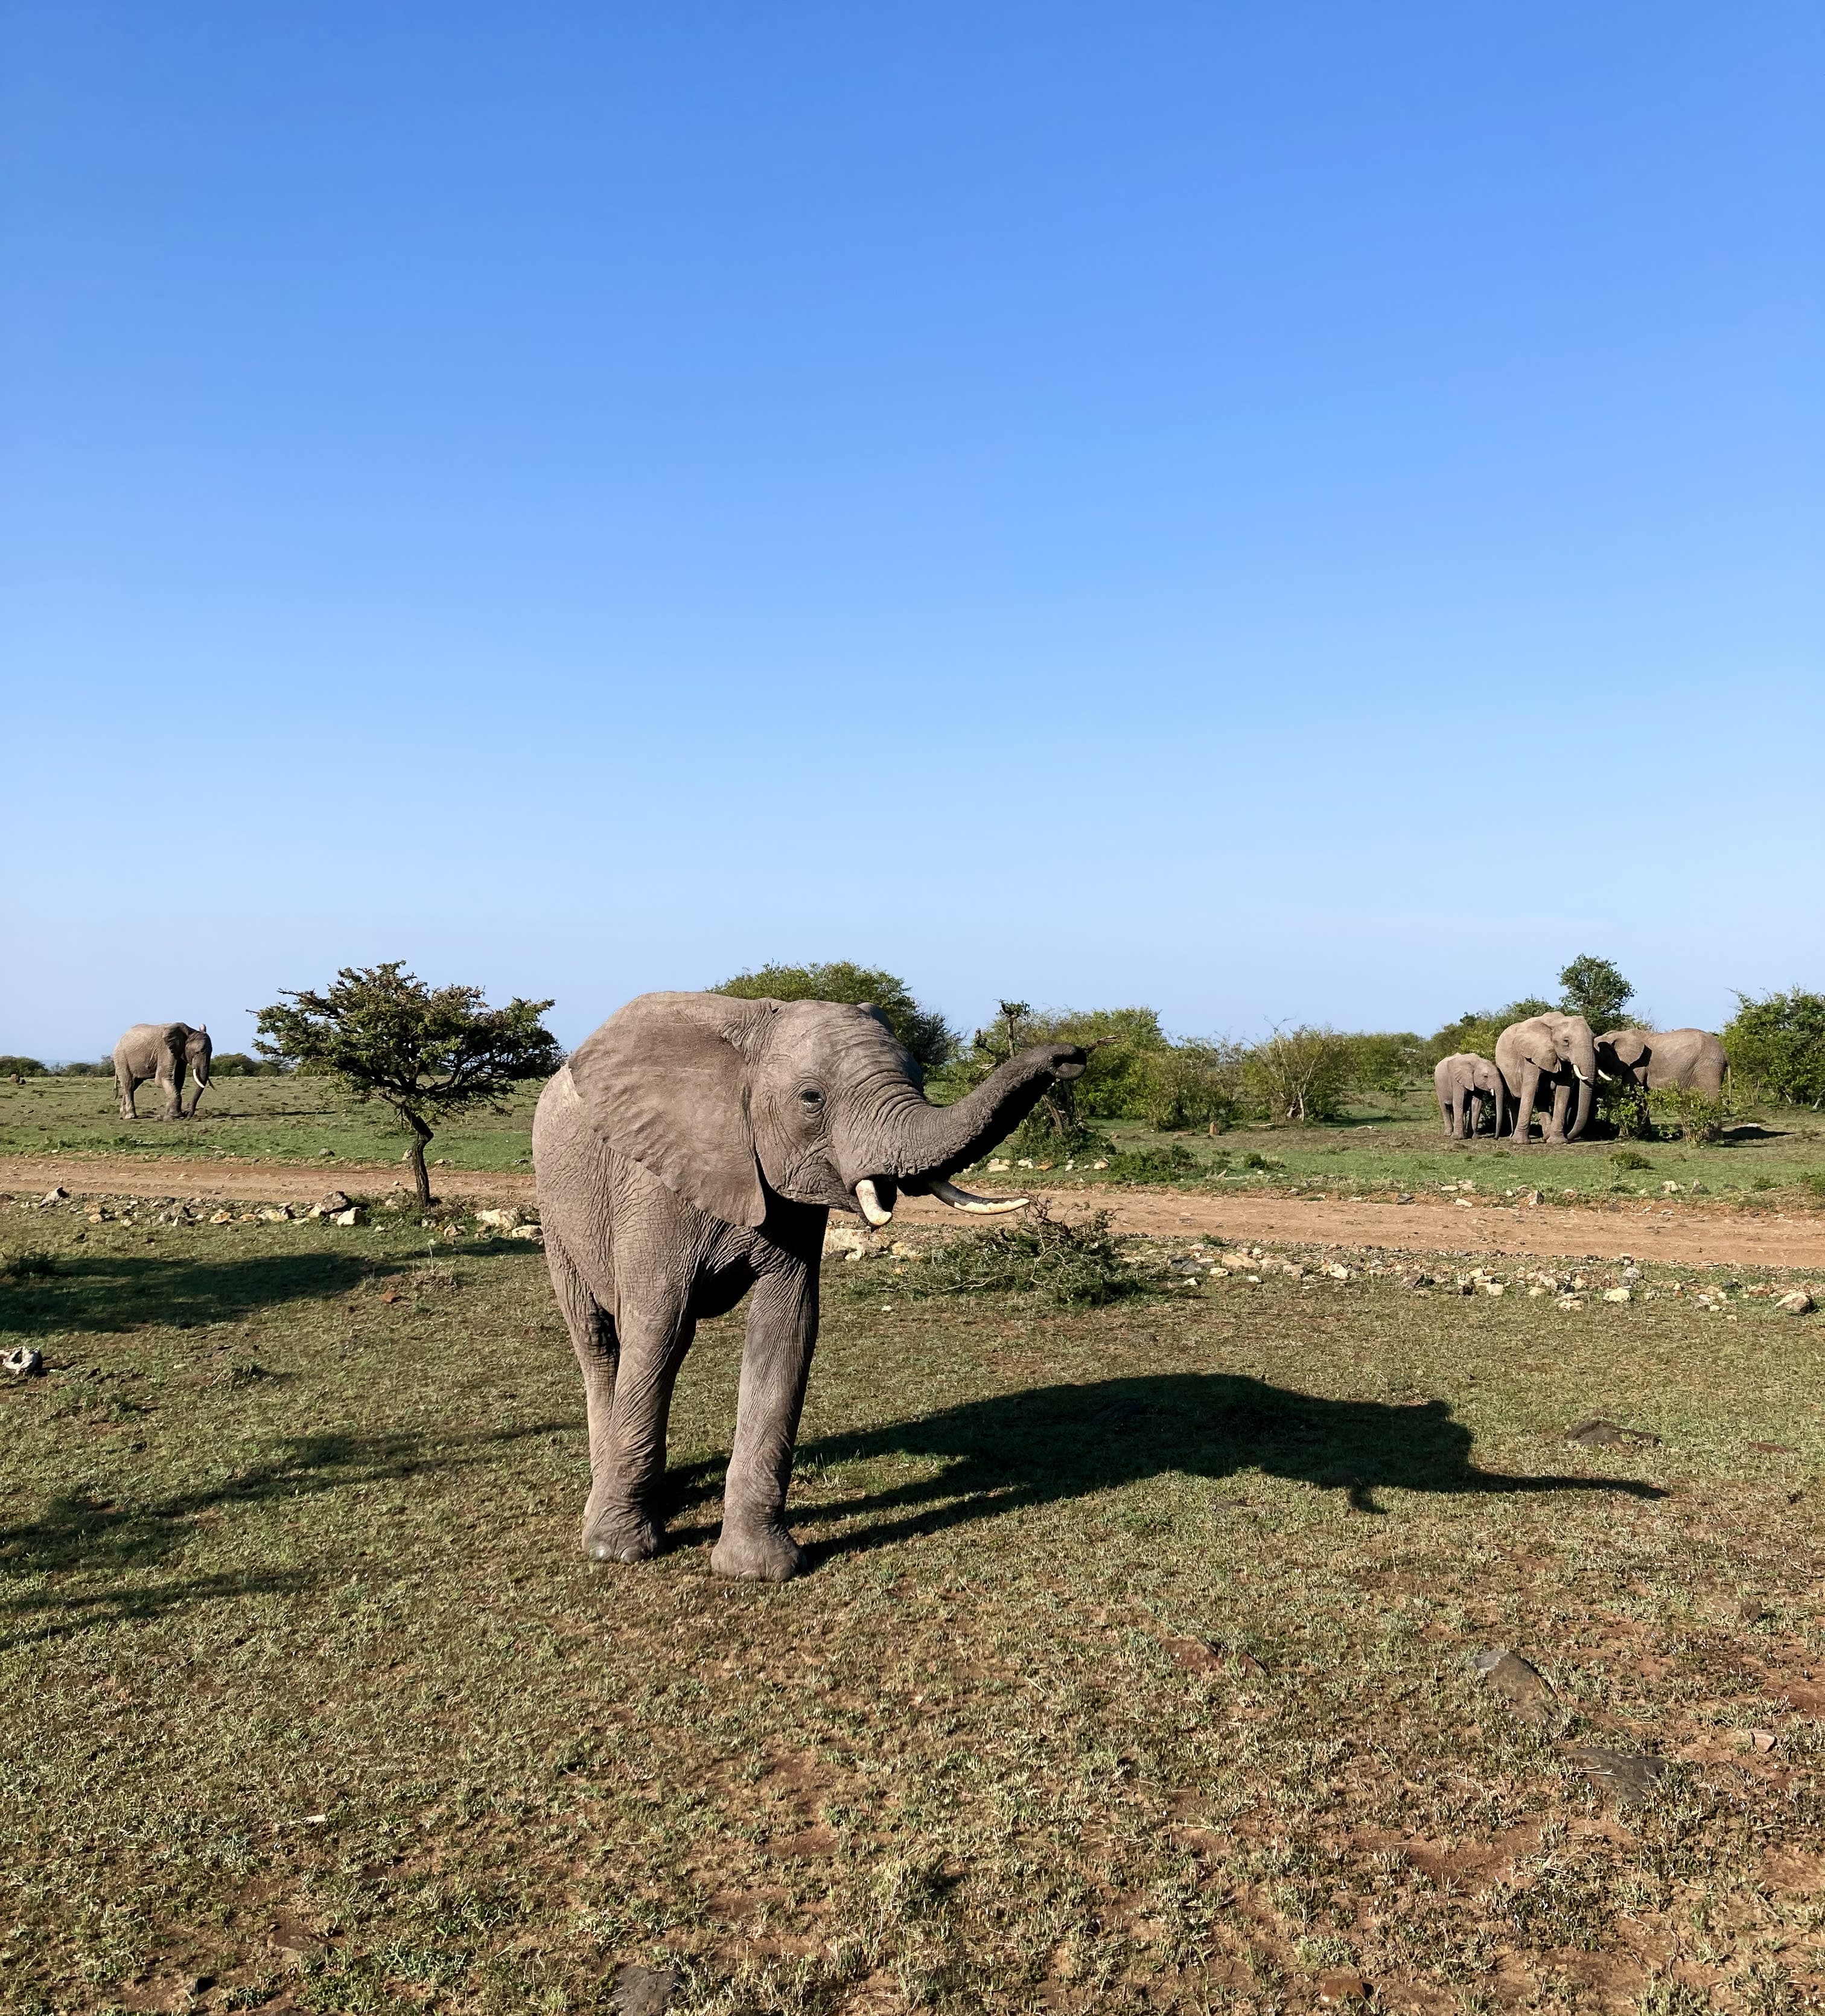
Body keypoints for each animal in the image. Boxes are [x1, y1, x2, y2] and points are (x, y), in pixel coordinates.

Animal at [113, 1022, 212, 1120]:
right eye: (198, 1052)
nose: (187, 1115)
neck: (190, 1032)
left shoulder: (179, 1053)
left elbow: (178, 1080)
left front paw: (173, 1115)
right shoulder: (165, 1050)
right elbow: (162, 1078)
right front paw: (174, 1116)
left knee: (134, 1085)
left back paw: (123, 1116)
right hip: (121, 1059)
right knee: (129, 1085)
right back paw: (130, 1116)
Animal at [532, 990, 1088, 1582]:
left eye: (919, 1077)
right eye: (811, 1098)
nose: (1070, 1057)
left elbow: (786, 1329)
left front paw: (758, 1570)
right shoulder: (652, 1185)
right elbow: (661, 1330)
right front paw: (617, 1551)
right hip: (556, 1207)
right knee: (598, 1342)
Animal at [1434, 1052, 1506, 1139]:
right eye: (1486, 1076)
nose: (1495, 1138)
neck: (1476, 1062)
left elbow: (1477, 1104)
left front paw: (1475, 1137)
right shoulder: (1456, 1080)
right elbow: (1458, 1102)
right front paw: (1457, 1138)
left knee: (1463, 1108)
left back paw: (1463, 1134)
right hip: (1439, 1087)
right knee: (1445, 1108)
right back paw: (1449, 1134)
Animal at [1495, 1012, 1597, 1145]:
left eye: (1593, 1038)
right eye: (1566, 1041)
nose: (1569, 1136)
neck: (1555, 1023)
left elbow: (1564, 1088)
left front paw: (1557, 1142)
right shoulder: (1532, 1055)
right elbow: (1530, 1088)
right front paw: (1520, 1142)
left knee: (1541, 1097)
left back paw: (1546, 1137)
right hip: (1504, 1071)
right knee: (1515, 1099)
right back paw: (1514, 1138)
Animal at [1596, 1027, 1727, 1097]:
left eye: (1598, 1053)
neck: (1620, 1033)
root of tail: (1724, 1052)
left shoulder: (1638, 1064)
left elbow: (1632, 1093)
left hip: (1709, 1066)